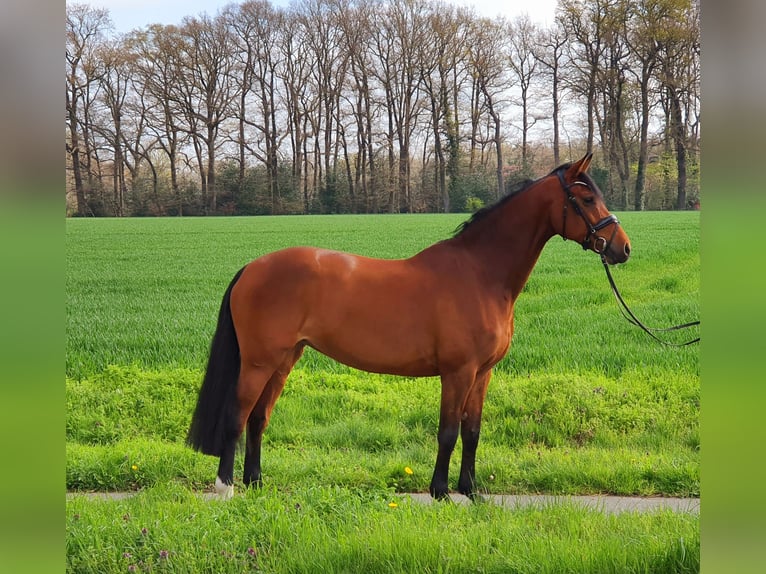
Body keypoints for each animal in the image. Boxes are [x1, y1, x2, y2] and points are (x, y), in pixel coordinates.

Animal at [186, 155, 632, 502]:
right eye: (587, 199)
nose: (622, 248)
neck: (480, 273)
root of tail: (252, 268)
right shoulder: (458, 372)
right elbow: (448, 431)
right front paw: (441, 492)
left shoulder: (482, 374)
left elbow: (472, 430)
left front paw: (471, 491)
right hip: (259, 362)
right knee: (237, 415)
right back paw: (226, 488)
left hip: (284, 359)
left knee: (259, 417)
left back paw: (256, 483)